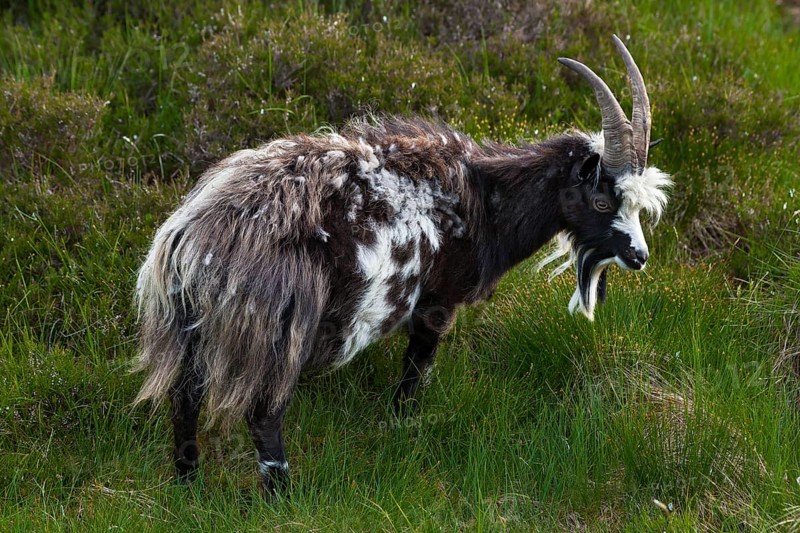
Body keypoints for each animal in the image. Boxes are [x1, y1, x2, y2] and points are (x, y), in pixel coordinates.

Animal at [134, 35, 672, 497]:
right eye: (602, 202)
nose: (639, 257)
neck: (483, 198)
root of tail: (193, 240)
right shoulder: (437, 301)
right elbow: (417, 368)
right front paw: (402, 427)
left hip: (192, 327)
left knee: (185, 398)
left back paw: (188, 485)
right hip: (278, 329)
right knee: (264, 412)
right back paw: (281, 496)